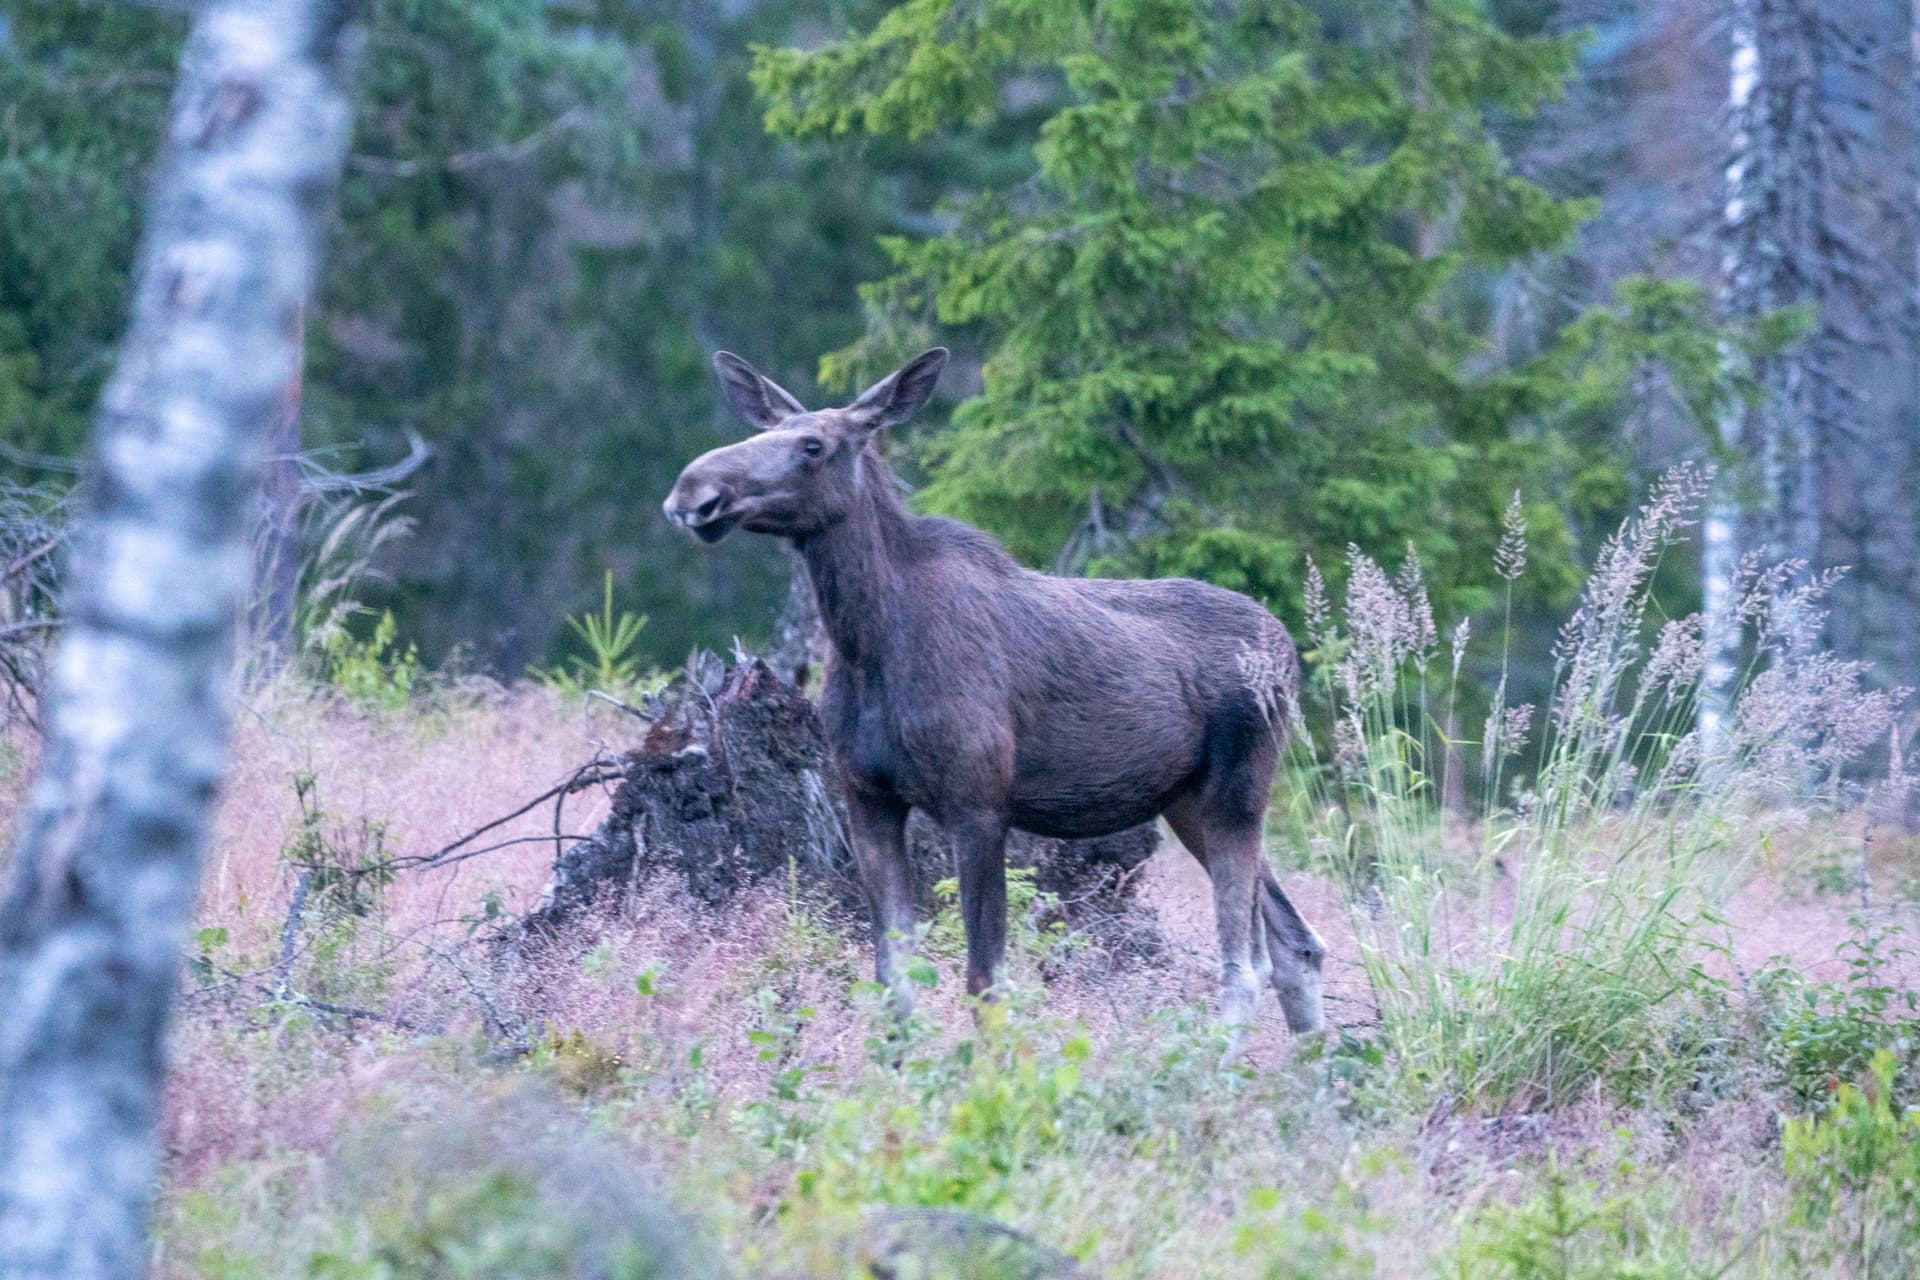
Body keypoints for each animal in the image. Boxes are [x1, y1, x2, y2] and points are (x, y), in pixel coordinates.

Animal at [663, 348, 1327, 1054]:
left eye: (813, 445)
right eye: (763, 431)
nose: (693, 492)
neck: (869, 640)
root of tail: (1288, 651)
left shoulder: (978, 803)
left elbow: (985, 981)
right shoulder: (867, 799)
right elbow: (893, 977)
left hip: (1238, 789)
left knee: (1246, 962)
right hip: (1186, 801)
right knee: (1296, 942)